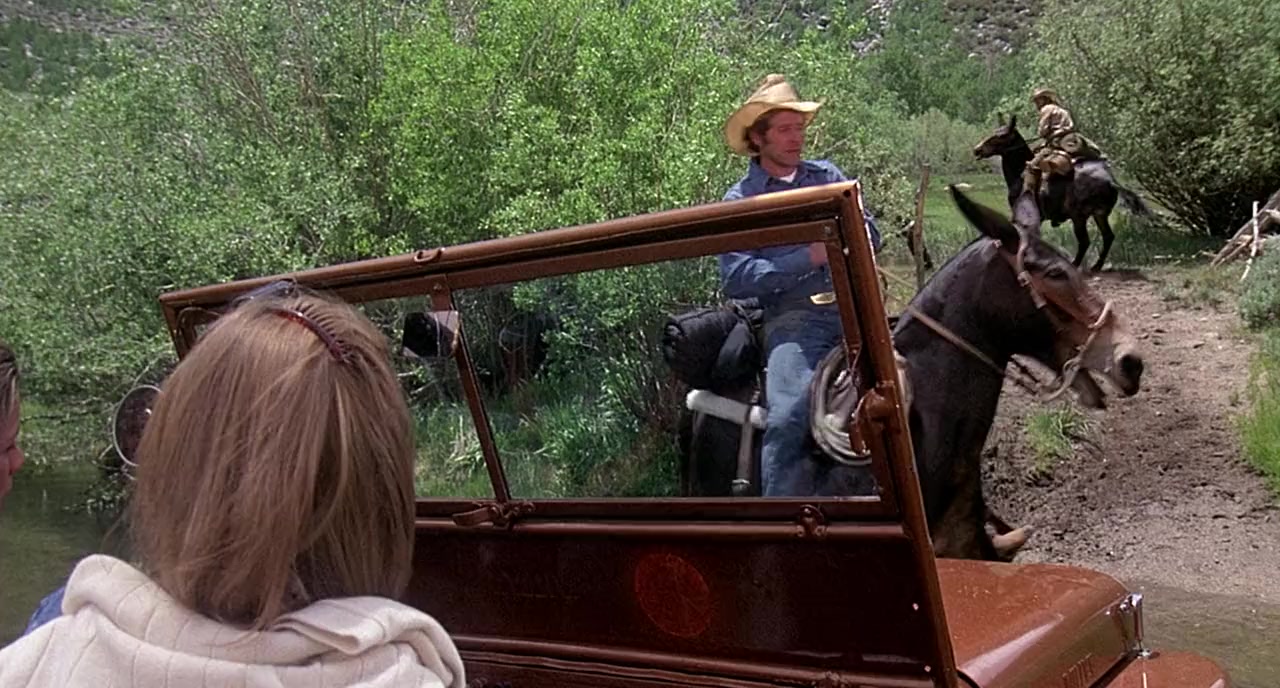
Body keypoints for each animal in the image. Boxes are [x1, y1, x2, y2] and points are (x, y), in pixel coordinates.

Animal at [973, 114, 1150, 272]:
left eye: (1001, 136)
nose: (977, 150)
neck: (1020, 173)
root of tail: (1108, 180)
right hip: (1100, 214)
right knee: (1108, 236)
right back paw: (1096, 266)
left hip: (1079, 217)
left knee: (1085, 241)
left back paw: (1075, 265)